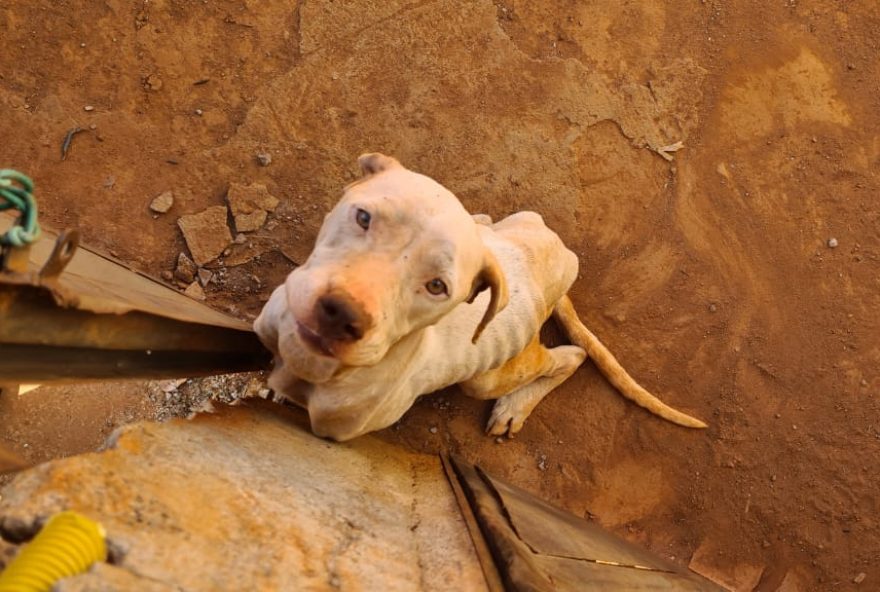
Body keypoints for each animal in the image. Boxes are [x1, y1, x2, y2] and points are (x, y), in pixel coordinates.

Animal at [254, 153, 708, 440]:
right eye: (363, 217)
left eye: (438, 286)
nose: (340, 315)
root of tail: (558, 265)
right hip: (511, 225)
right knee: (486, 222)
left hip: (490, 375)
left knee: (570, 357)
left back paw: (514, 408)